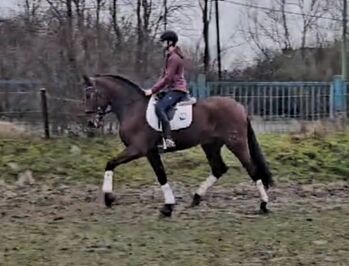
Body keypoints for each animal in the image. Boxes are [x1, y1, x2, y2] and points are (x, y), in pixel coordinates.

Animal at [83, 74, 274, 217]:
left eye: (90, 95)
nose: (91, 122)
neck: (132, 108)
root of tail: (239, 107)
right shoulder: (151, 152)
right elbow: (161, 175)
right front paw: (168, 206)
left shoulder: (138, 149)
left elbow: (112, 163)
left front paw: (108, 197)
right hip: (211, 145)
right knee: (219, 168)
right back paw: (196, 197)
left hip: (236, 143)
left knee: (252, 169)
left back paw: (263, 205)